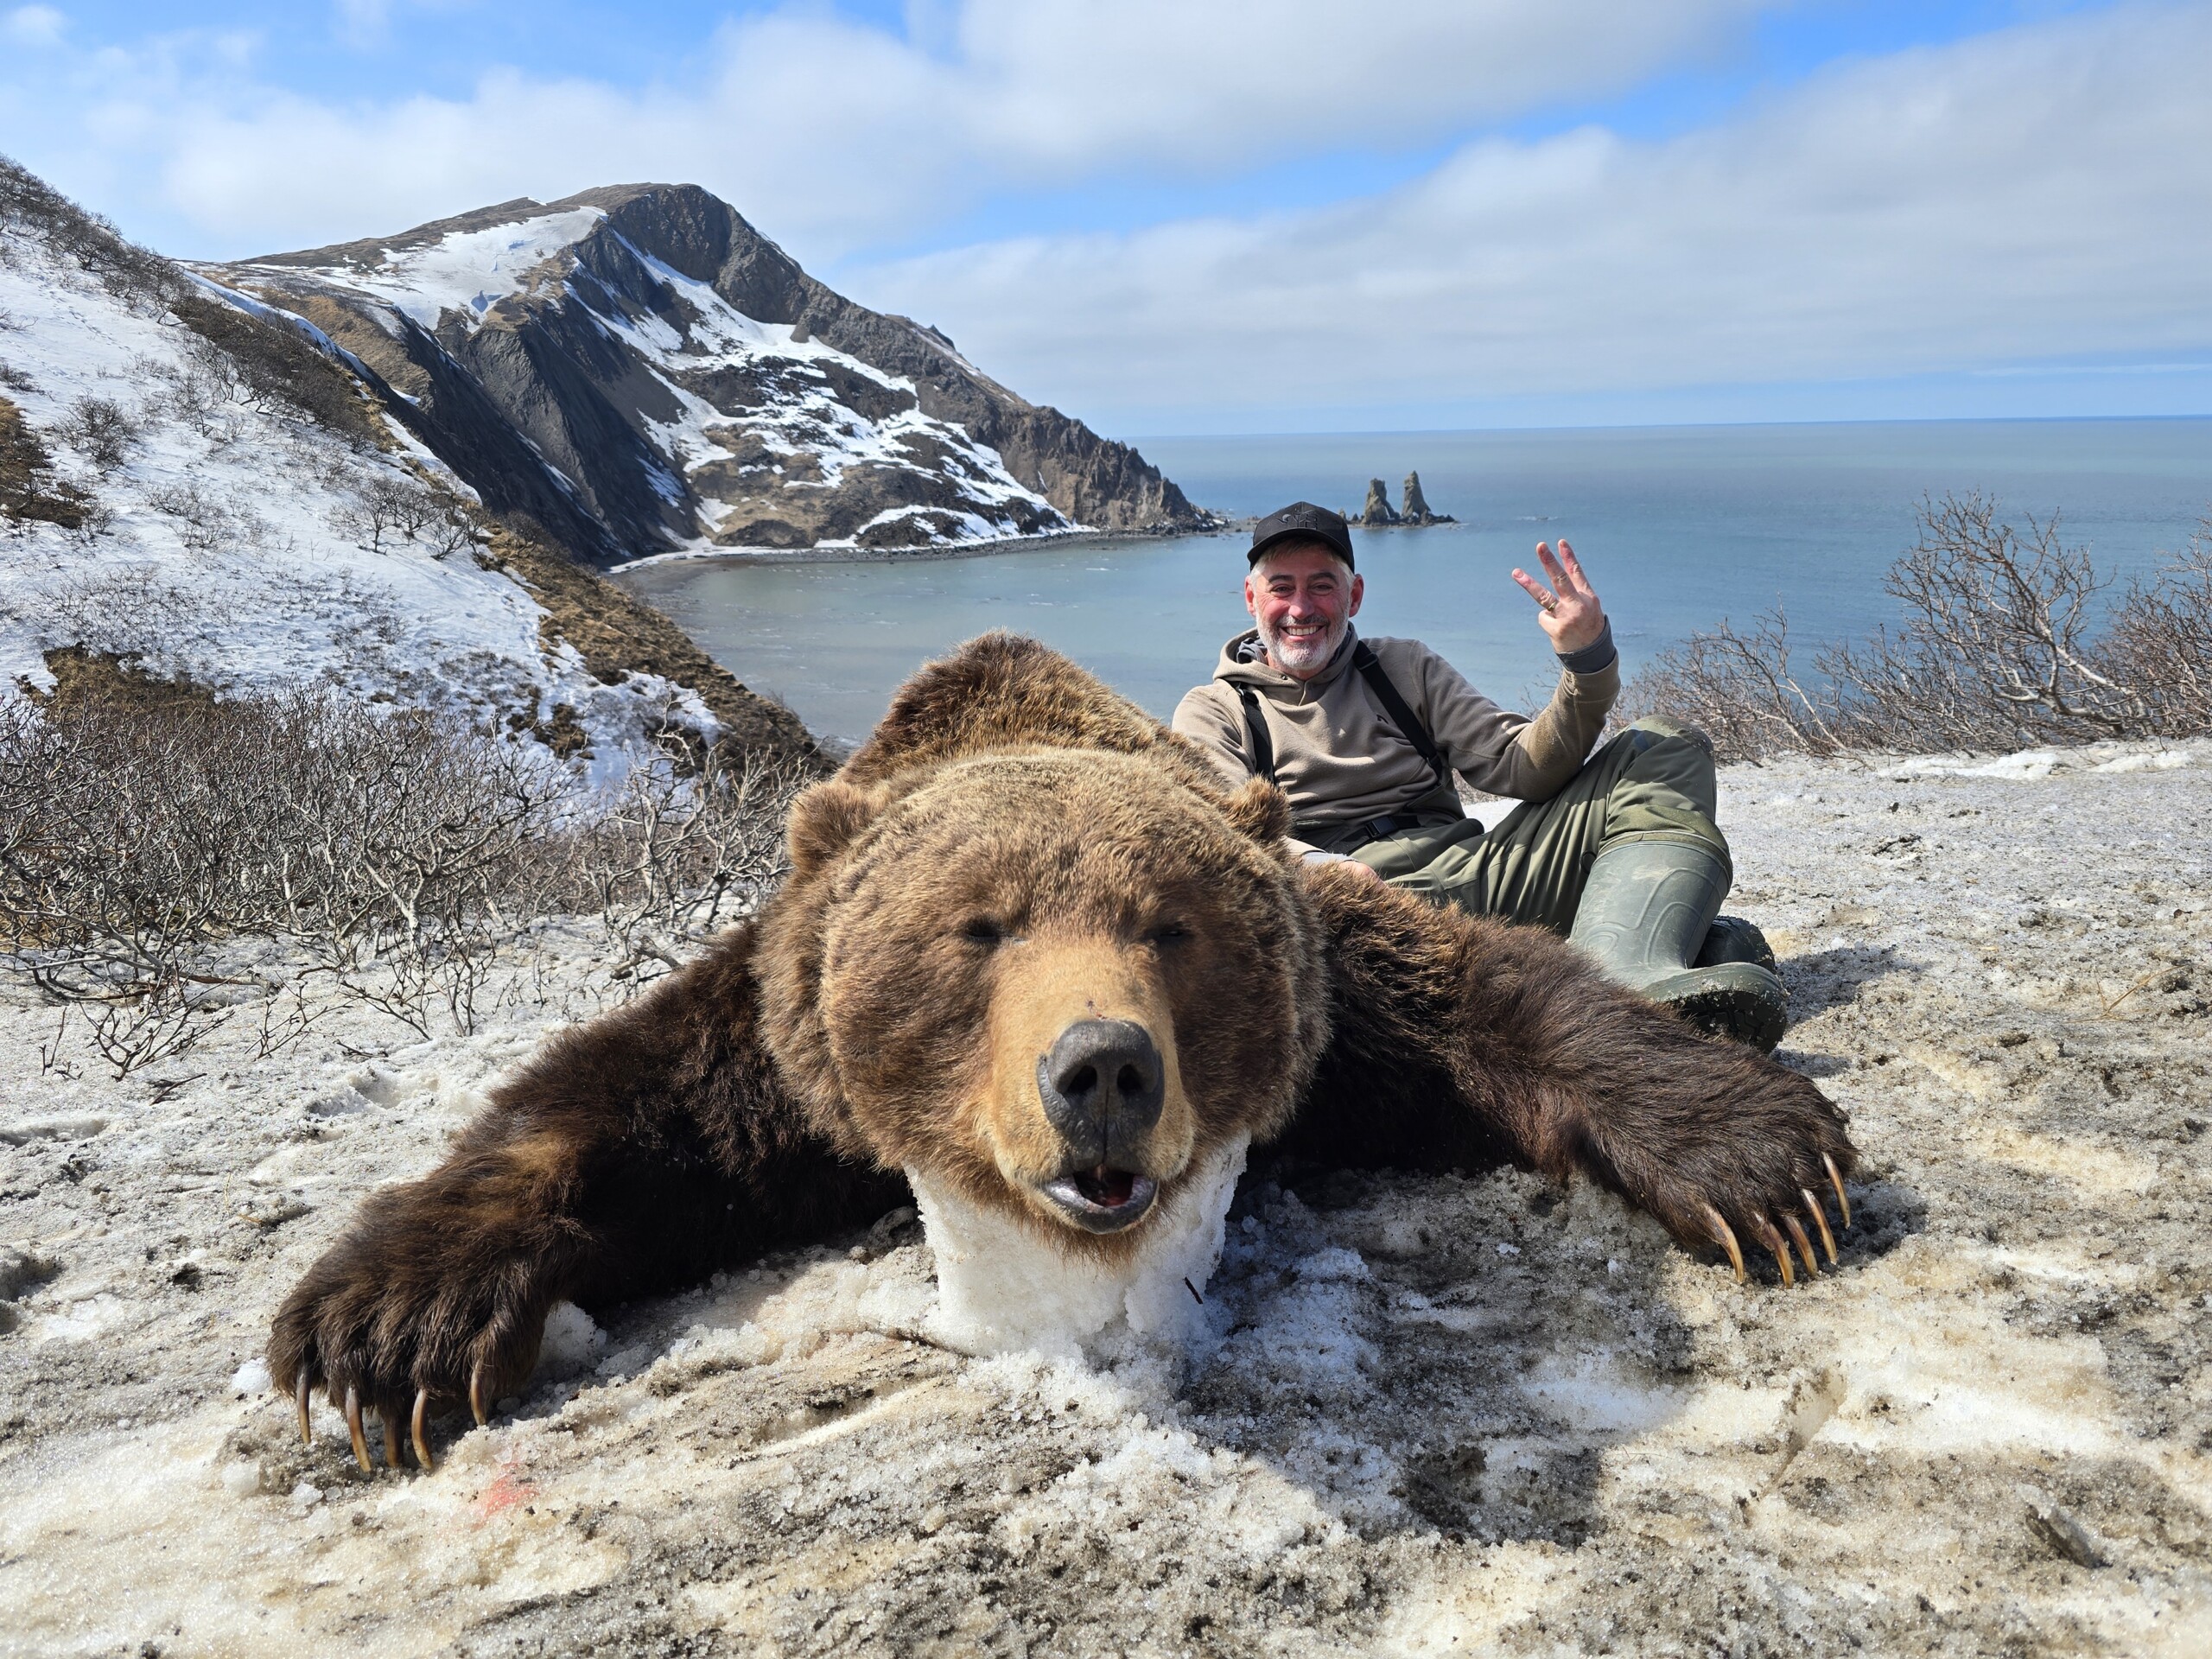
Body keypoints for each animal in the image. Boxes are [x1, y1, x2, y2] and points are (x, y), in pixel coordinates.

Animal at [271, 633, 1856, 1471]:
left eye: (1170, 925)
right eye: (978, 930)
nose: (1101, 1070)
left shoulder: (1341, 995)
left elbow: (1497, 996)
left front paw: (1762, 1160)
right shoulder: (771, 1058)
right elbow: (600, 1115)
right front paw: (388, 1330)